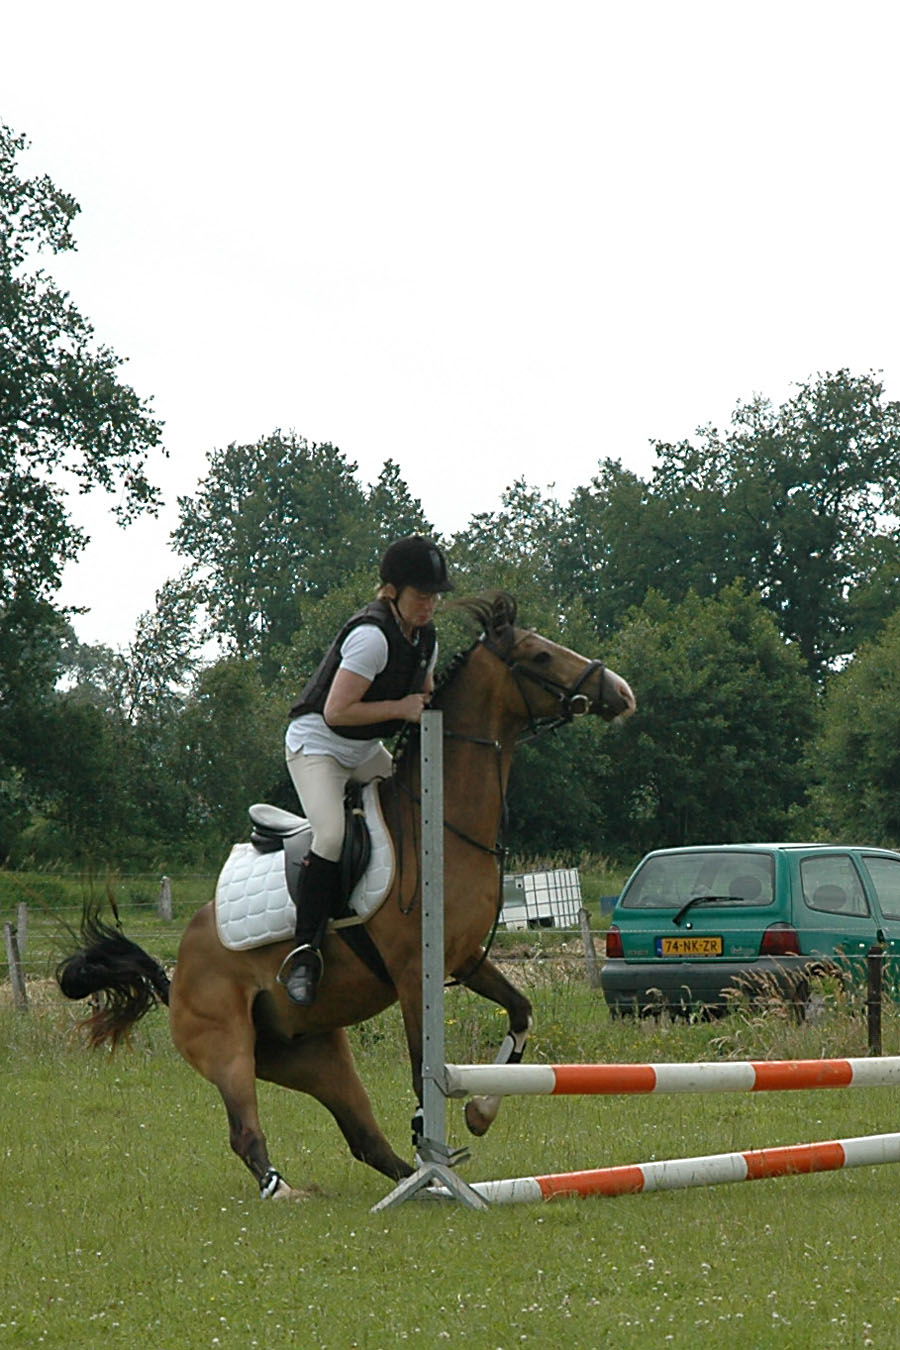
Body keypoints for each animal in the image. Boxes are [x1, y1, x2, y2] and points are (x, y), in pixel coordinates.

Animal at [56, 592, 635, 1199]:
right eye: (540, 656)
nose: (622, 692)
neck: (441, 823)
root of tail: (175, 970)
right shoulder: (413, 975)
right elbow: (422, 1068)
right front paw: (446, 1126)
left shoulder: (466, 959)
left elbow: (520, 1012)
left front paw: (480, 1111)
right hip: (227, 1046)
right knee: (245, 1130)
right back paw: (287, 1191)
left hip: (315, 1053)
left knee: (364, 1138)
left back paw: (422, 1183)